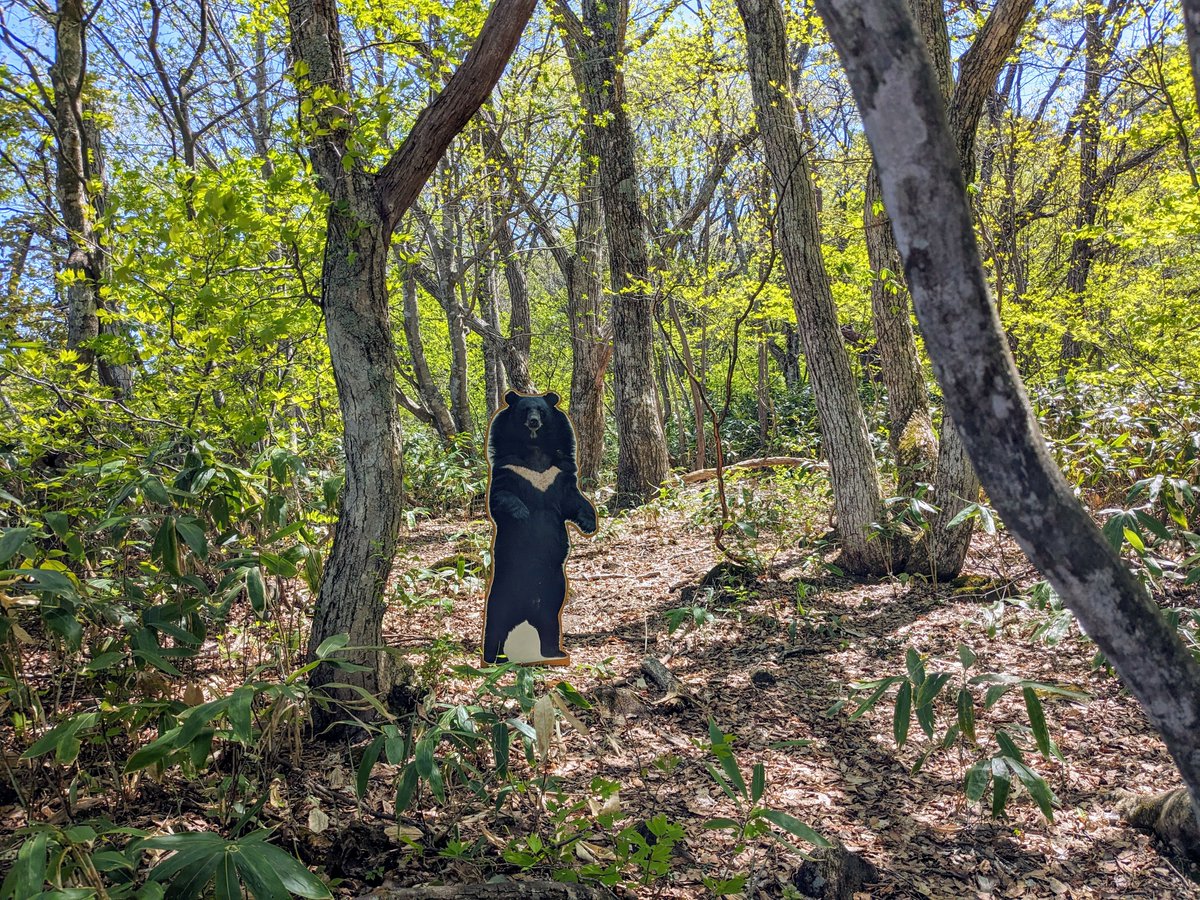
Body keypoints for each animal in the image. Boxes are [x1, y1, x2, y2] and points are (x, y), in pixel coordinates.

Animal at [482, 390, 597, 665]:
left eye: (542, 411)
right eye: (525, 410)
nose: (534, 421)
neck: (534, 448)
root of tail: (527, 608)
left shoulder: (559, 471)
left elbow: (574, 500)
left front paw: (589, 525)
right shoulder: (508, 468)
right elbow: (500, 496)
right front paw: (522, 512)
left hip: (554, 592)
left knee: (550, 623)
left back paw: (554, 651)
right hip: (502, 593)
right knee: (495, 621)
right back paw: (494, 657)